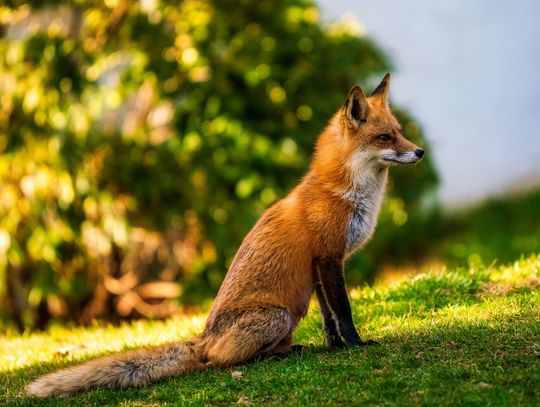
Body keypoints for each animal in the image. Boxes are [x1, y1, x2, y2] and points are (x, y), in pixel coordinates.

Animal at [27, 74, 424, 398]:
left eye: (401, 130)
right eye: (385, 137)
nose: (419, 151)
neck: (342, 193)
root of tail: (203, 338)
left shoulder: (319, 265)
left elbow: (329, 317)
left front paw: (336, 347)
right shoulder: (329, 258)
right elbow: (343, 310)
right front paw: (356, 344)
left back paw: (289, 350)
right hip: (279, 315)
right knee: (218, 361)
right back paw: (267, 358)